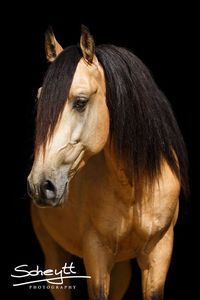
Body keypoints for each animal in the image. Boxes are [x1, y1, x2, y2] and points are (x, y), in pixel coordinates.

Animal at [27, 26, 189, 300]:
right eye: (40, 100)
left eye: (80, 102)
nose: (40, 185)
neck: (133, 188)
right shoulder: (97, 255)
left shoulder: (159, 252)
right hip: (55, 260)